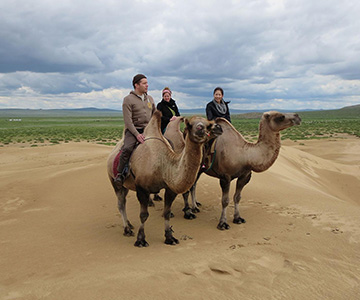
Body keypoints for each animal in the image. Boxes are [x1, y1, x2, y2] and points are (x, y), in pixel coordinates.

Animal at [106, 110, 219, 246]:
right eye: (193, 125)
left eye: (208, 125)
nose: (217, 127)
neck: (163, 164)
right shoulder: (141, 188)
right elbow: (143, 215)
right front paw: (141, 239)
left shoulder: (170, 188)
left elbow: (167, 213)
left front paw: (169, 237)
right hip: (114, 180)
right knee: (121, 203)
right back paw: (127, 229)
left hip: (126, 185)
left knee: (123, 200)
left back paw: (129, 224)